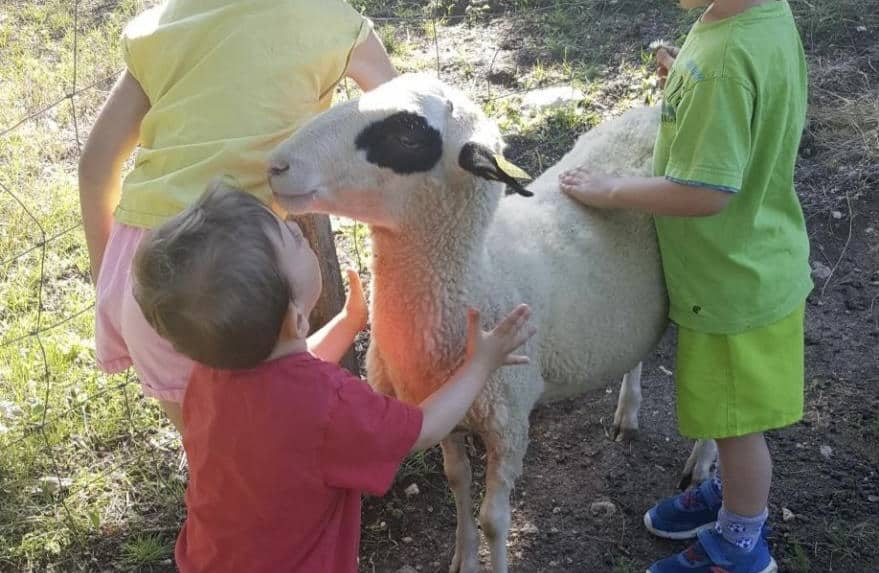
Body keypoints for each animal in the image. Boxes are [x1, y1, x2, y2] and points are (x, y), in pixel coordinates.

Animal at [272, 73, 720, 572]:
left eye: (408, 135)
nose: (277, 165)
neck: (477, 277)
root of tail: (652, 111)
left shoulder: (508, 421)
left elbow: (494, 520)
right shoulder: (444, 411)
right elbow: (457, 483)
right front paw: (463, 557)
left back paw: (702, 464)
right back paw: (628, 412)